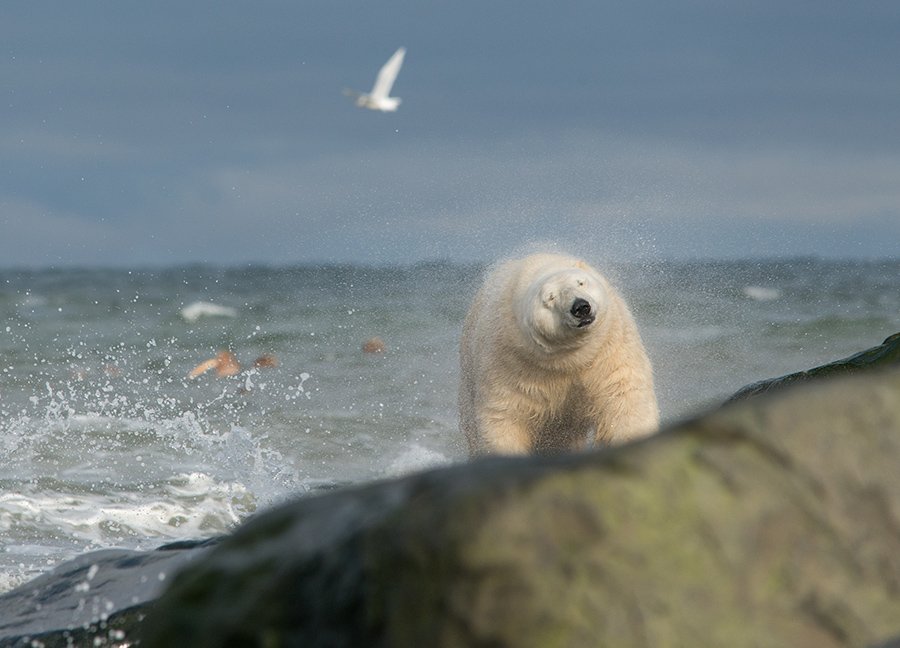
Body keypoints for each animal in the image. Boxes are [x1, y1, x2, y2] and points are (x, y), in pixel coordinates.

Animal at [460, 253, 656, 456]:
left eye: (581, 282)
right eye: (550, 298)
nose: (581, 307)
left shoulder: (608, 348)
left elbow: (624, 397)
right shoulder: (510, 362)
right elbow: (504, 416)